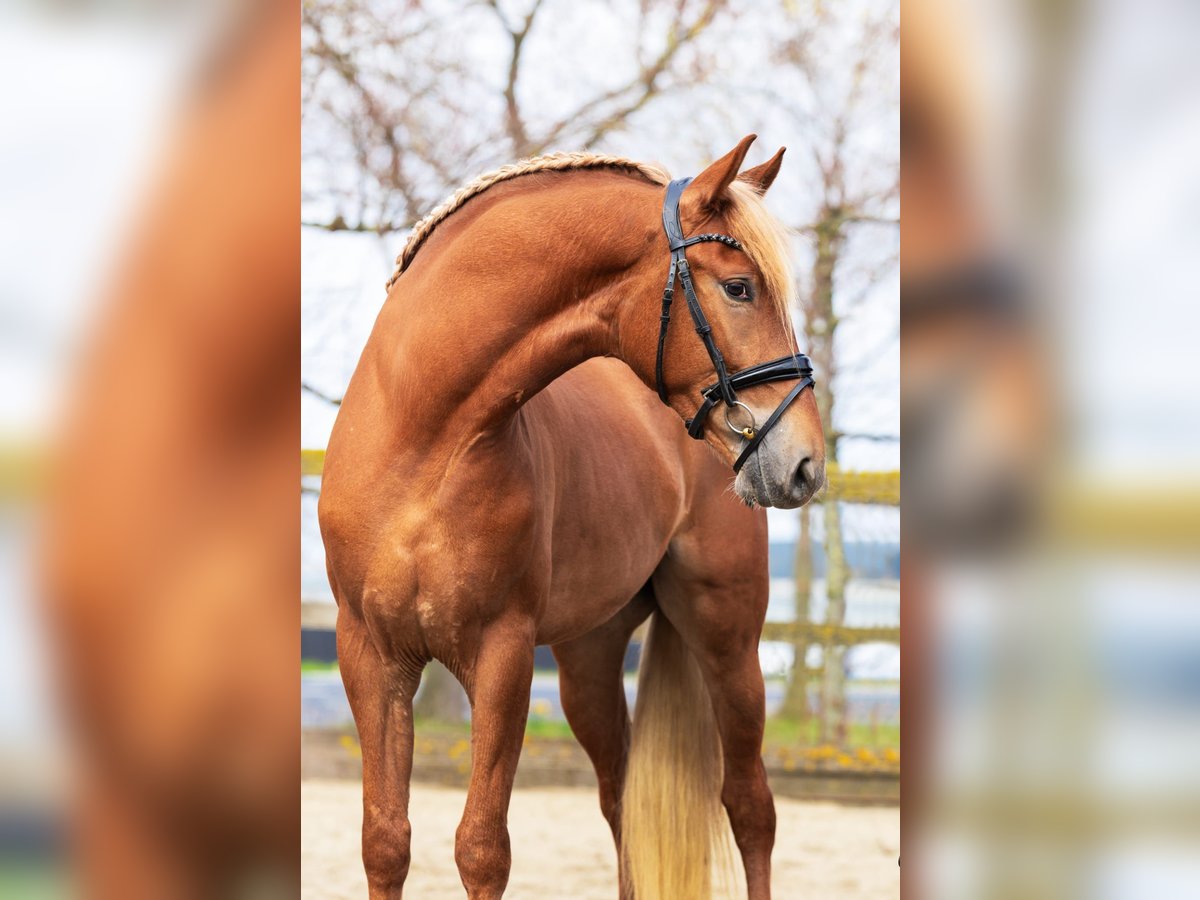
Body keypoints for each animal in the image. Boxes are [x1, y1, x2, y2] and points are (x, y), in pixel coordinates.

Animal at [319, 135, 825, 900]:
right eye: (739, 287)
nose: (804, 463)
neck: (423, 442)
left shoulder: (502, 655)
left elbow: (481, 847)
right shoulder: (370, 656)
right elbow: (384, 841)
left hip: (728, 640)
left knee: (750, 806)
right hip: (589, 659)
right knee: (621, 801)